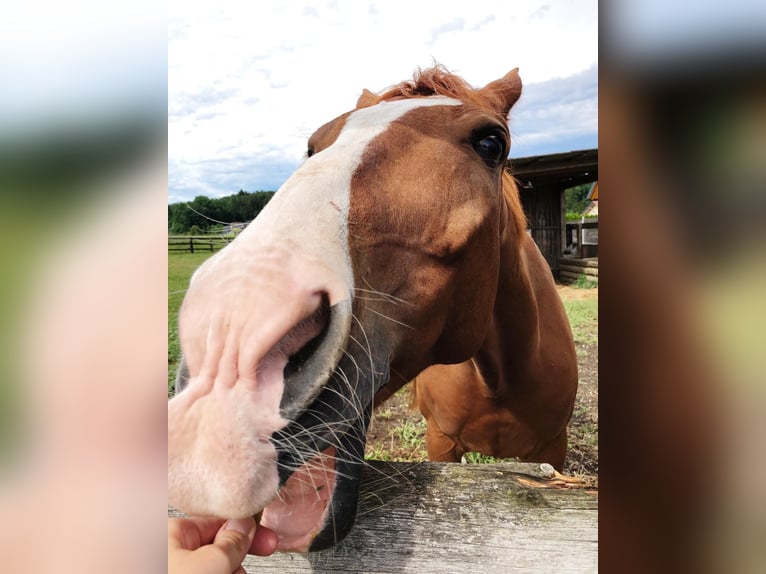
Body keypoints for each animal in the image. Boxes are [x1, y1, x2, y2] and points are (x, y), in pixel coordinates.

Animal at [166, 66, 576, 552]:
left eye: (492, 143)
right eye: (314, 146)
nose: (230, 343)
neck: (500, 381)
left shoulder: (552, 451)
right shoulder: (442, 442)